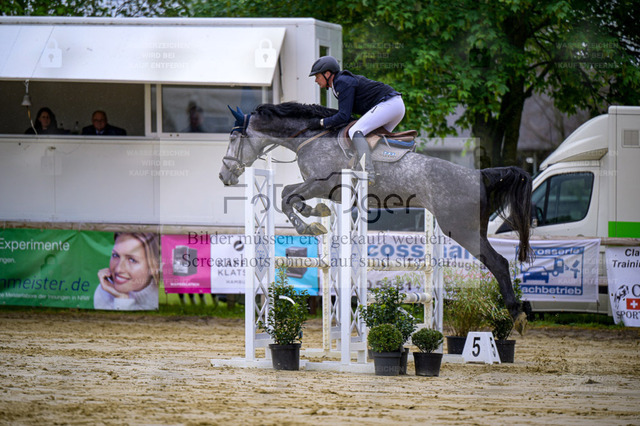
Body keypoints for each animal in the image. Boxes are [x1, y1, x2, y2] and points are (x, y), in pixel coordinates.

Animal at [219, 102, 532, 333]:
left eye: (233, 138)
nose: (224, 176)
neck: (310, 137)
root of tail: (479, 175)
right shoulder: (326, 190)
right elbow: (290, 196)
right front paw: (316, 214)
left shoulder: (322, 184)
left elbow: (286, 197)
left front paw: (311, 222)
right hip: (470, 229)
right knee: (499, 263)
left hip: (460, 230)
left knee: (499, 263)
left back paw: (516, 314)